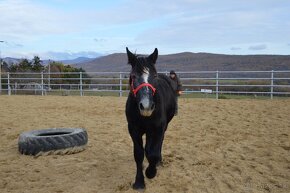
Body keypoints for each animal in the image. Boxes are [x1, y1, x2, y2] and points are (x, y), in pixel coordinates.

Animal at [125, 47, 177, 189]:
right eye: (133, 76)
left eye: (154, 76)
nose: (146, 106)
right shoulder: (134, 130)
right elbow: (139, 154)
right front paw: (139, 182)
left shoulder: (158, 128)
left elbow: (153, 153)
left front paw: (150, 172)